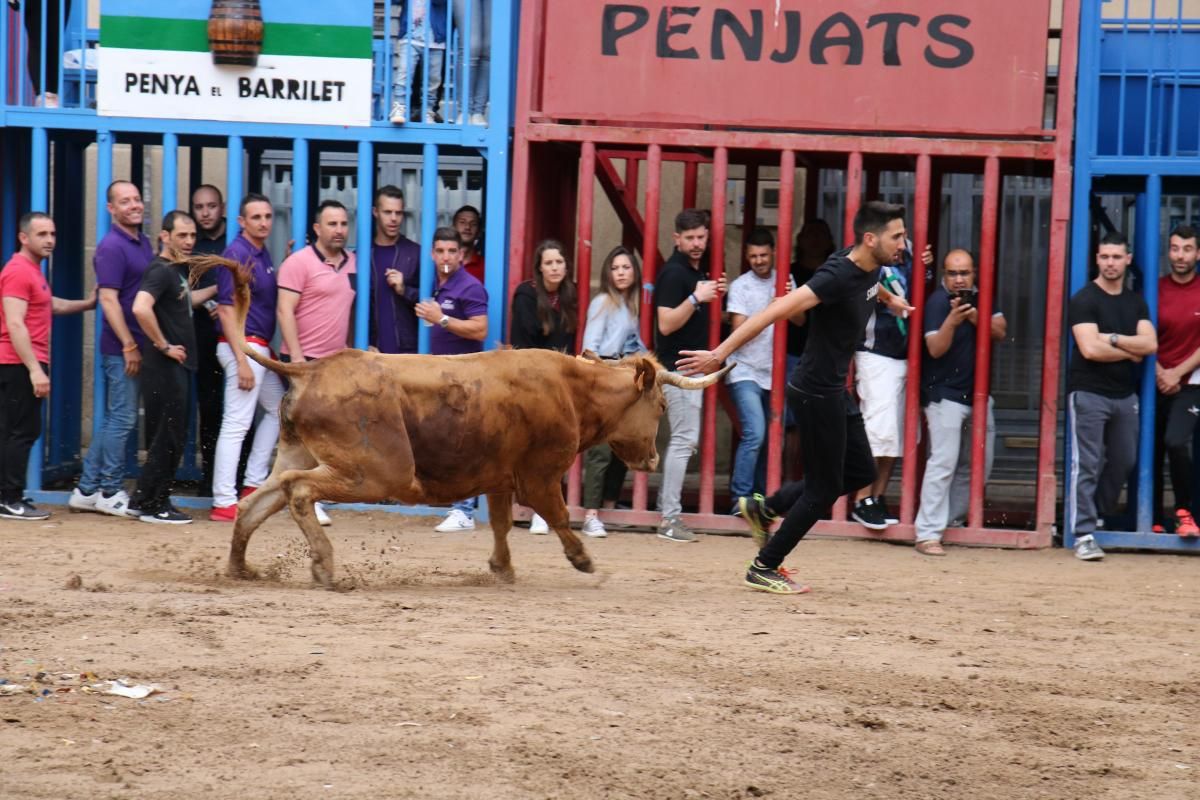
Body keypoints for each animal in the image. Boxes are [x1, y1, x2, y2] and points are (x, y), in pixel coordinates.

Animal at [196, 256, 724, 587]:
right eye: (660, 406)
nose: (652, 458)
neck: (571, 389)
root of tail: (310, 367)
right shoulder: (539, 476)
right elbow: (555, 515)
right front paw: (582, 559)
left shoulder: (500, 476)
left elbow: (500, 524)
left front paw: (502, 568)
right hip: (377, 471)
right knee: (301, 492)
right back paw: (324, 566)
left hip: (300, 452)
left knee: (260, 500)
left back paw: (242, 569)